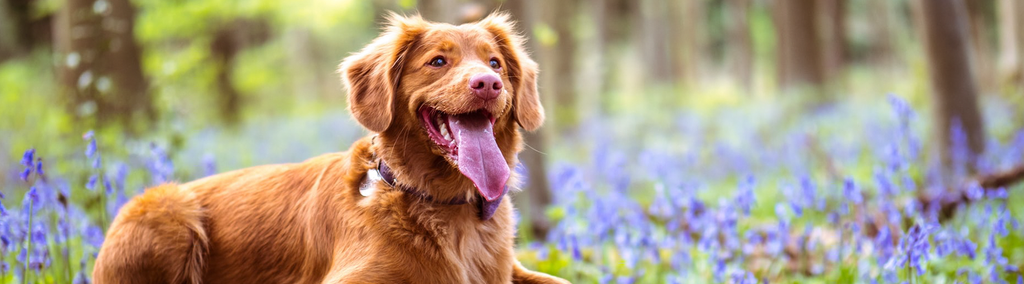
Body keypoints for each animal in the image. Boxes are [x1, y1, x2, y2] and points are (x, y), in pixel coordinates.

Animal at [92, 12, 573, 280]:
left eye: (495, 63)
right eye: (438, 61)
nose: (488, 83)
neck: (443, 206)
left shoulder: (507, 270)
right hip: (167, 207)